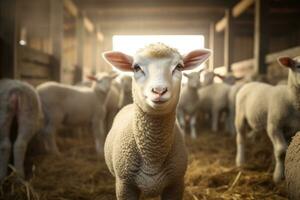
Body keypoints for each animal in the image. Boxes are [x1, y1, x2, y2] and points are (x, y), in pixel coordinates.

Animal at [102, 42, 210, 198]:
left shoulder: (176, 183)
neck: (152, 156)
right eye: (136, 67)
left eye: (179, 66)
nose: (159, 90)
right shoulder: (124, 185)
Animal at [236, 55, 300, 183]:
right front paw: (278, 176)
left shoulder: (293, 130)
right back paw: (240, 161)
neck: (290, 98)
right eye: (298, 66)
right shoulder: (274, 126)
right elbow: (281, 151)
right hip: (240, 116)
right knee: (240, 138)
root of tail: (250, 83)